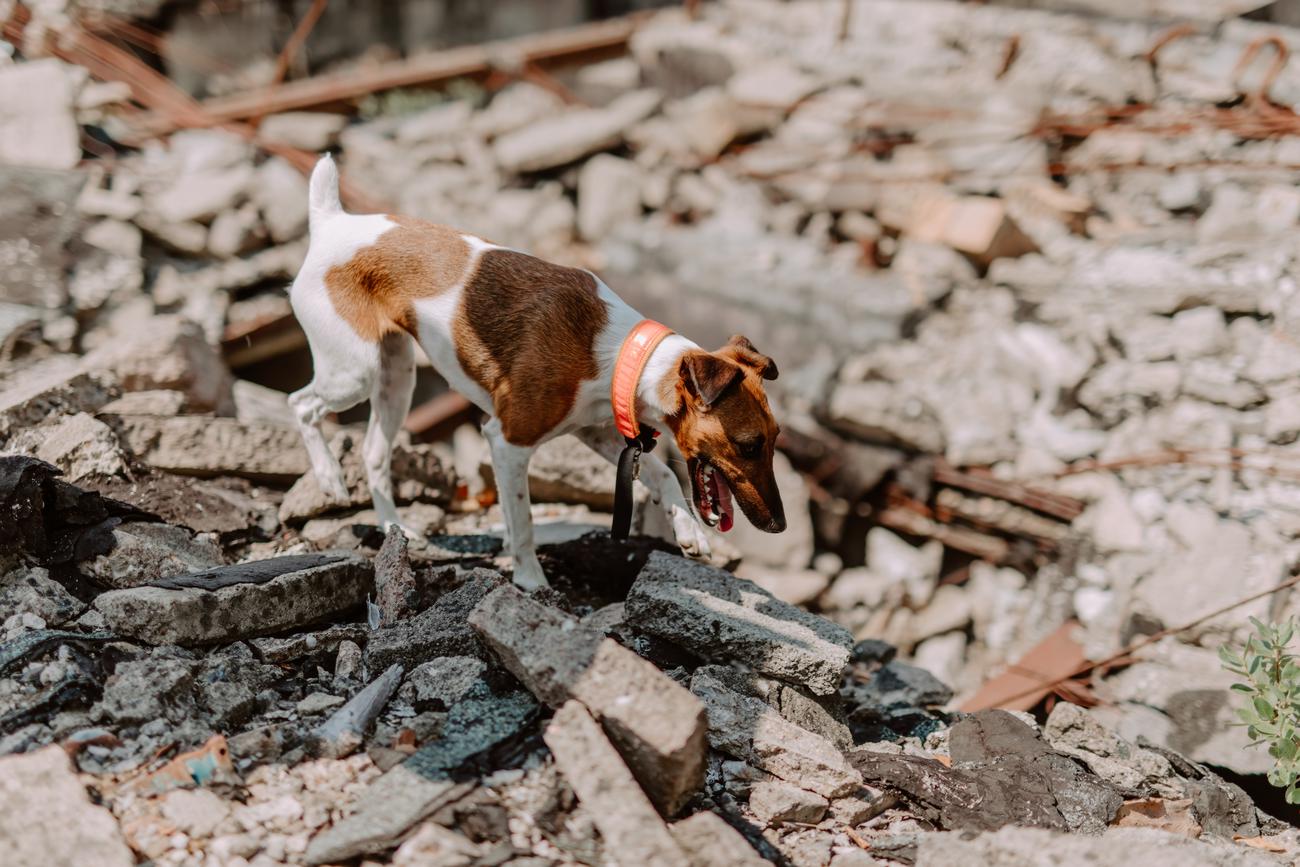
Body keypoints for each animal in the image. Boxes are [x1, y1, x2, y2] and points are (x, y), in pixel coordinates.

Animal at [289, 155, 785, 590]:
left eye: (775, 439)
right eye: (748, 445)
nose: (779, 525)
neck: (626, 356)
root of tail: (332, 221)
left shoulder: (595, 430)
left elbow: (662, 473)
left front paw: (688, 530)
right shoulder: (507, 441)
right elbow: (524, 517)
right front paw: (529, 577)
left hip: (396, 375)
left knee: (374, 451)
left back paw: (394, 527)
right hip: (355, 372)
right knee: (300, 404)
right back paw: (330, 477)